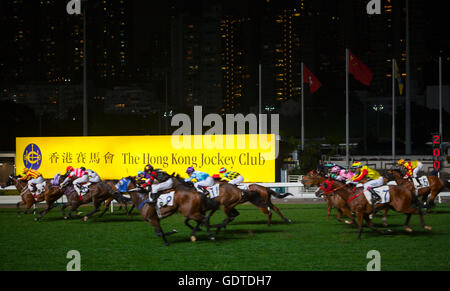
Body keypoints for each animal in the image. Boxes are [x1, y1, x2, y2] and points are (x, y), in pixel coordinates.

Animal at [302, 171, 432, 240]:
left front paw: (358, 233)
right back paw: (407, 227)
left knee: (416, 210)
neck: (350, 193)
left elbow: (356, 221)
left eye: (324, 184)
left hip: (400, 206)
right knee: (410, 212)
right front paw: (385, 232)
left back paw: (425, 226)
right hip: (396, 206)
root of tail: (407, 189)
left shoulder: (356, 211)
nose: (316, 193)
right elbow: (370, 225)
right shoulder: (357, 211)